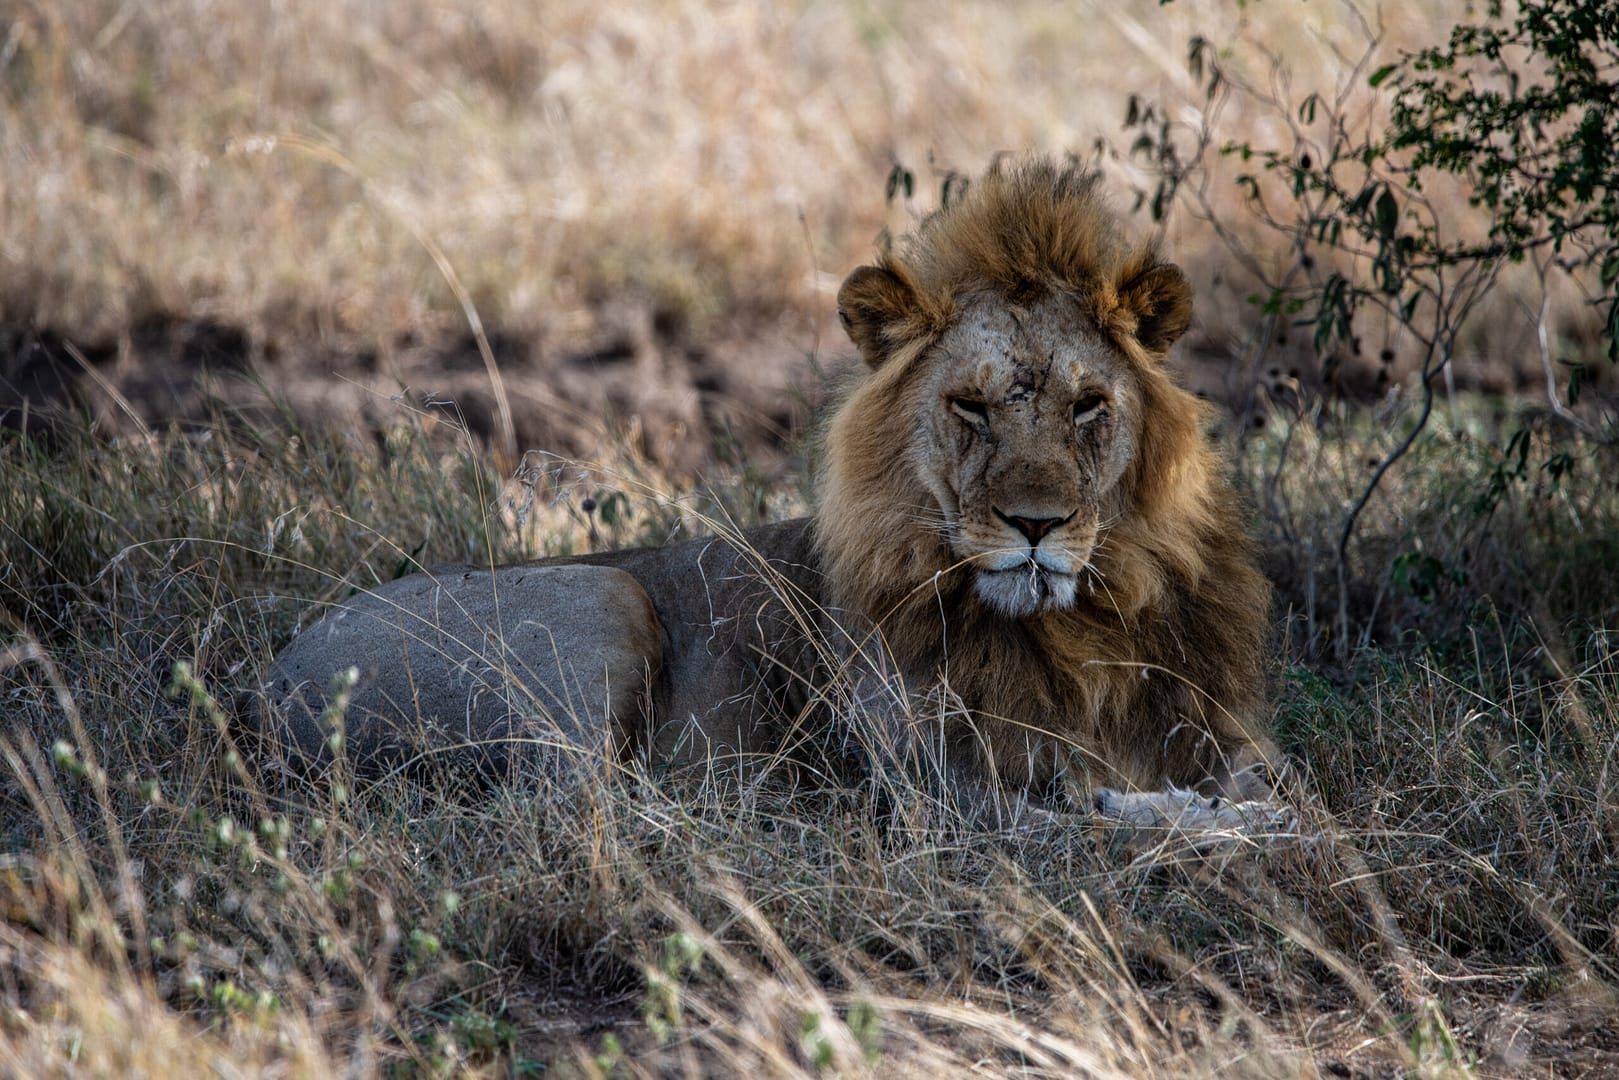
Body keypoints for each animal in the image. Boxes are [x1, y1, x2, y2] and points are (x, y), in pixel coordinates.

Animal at [256, 159, 1278, 826]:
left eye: (1088, 405)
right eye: (971, 406)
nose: (1037, 525)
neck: (1083, 626)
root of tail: (262, 682)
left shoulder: (1218, 731)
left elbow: (1270, 786)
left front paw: (1248, 813)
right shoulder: (942, 791)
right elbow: (1100, 816)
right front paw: (1199, 824)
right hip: (602, 598)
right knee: (571, 803)